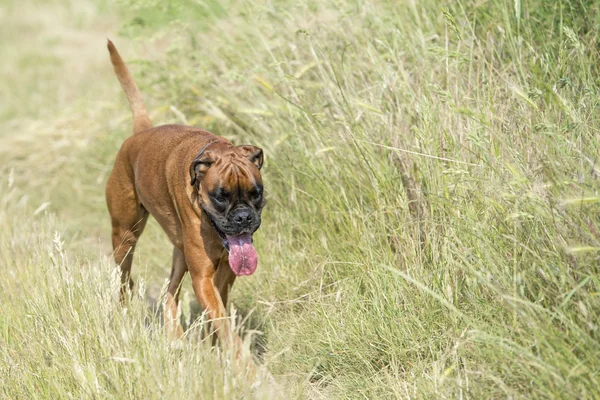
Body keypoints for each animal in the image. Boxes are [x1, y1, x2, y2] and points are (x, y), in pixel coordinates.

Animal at [104, 38, 264, 350]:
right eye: (220, 196)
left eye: (256, 194)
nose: (243, 218)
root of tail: (140, 134)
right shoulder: (203, 277)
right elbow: (224, 324)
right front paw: (240, 358)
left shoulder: (223, 275)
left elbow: (218, 317)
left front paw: (215, 348)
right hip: (125, 237)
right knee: (125, 281)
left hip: (179, 251)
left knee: (170, 293)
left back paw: (176, 339)